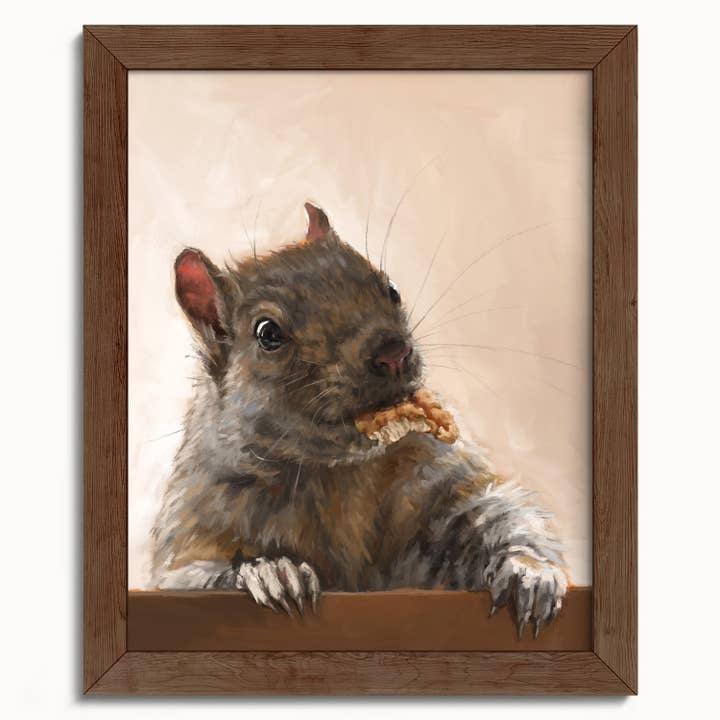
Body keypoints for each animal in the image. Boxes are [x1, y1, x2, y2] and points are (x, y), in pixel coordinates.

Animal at [152, 202, 567, 638]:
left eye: (392, 289)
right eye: (267, 333)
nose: (393, 352)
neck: (335, 472)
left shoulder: (435, 476)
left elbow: (492, 509)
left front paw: (529, 571)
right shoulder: (196, 524)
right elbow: (189, 574)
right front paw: (270, 571)